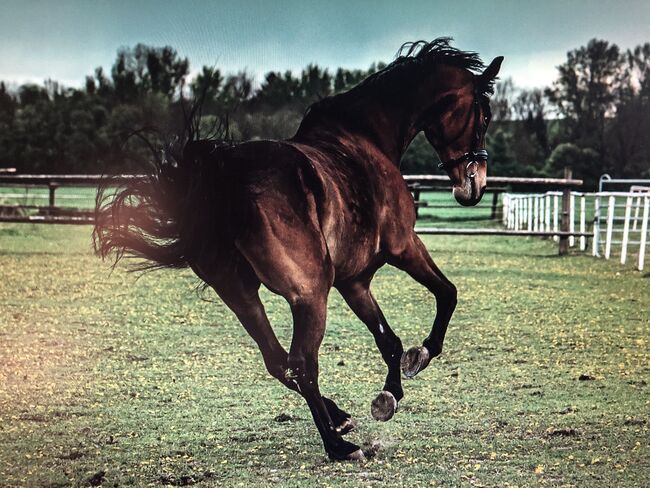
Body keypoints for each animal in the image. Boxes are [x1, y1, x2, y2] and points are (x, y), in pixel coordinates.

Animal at [93, 39, 502, 462]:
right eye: (484, 115)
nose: (473, 186)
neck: (366, 140)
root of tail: (227, 177)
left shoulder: (355, 282)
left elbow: (388, 340)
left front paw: (387, 397)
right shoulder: (404, 247)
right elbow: (447, 294)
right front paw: (418, 358)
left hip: (242, 295)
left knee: (279, 362)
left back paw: (339, 419)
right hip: (310, 295)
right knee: (302, 363)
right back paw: (339, 446)